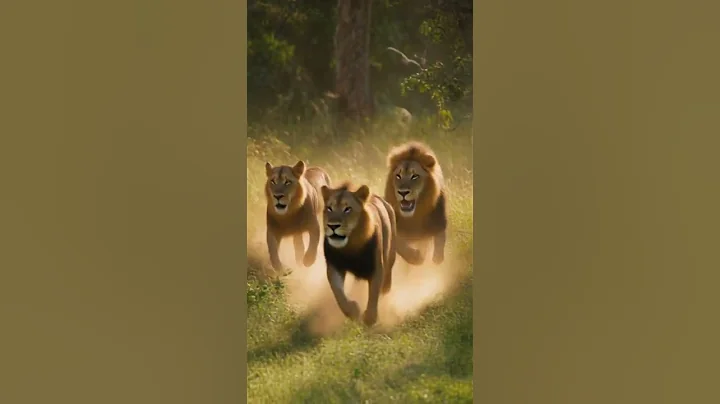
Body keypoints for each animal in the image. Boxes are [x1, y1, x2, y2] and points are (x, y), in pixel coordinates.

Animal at [320, 183, 397, 326]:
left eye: (347, 209)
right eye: (329, 208)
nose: (332, 225)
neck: (351, 245)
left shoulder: (376, 267)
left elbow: (373, 293)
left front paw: (370, 318)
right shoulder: (334, 266)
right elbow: (338, 292)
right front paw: (353, 311)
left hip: (390, 256)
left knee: (386, 281)